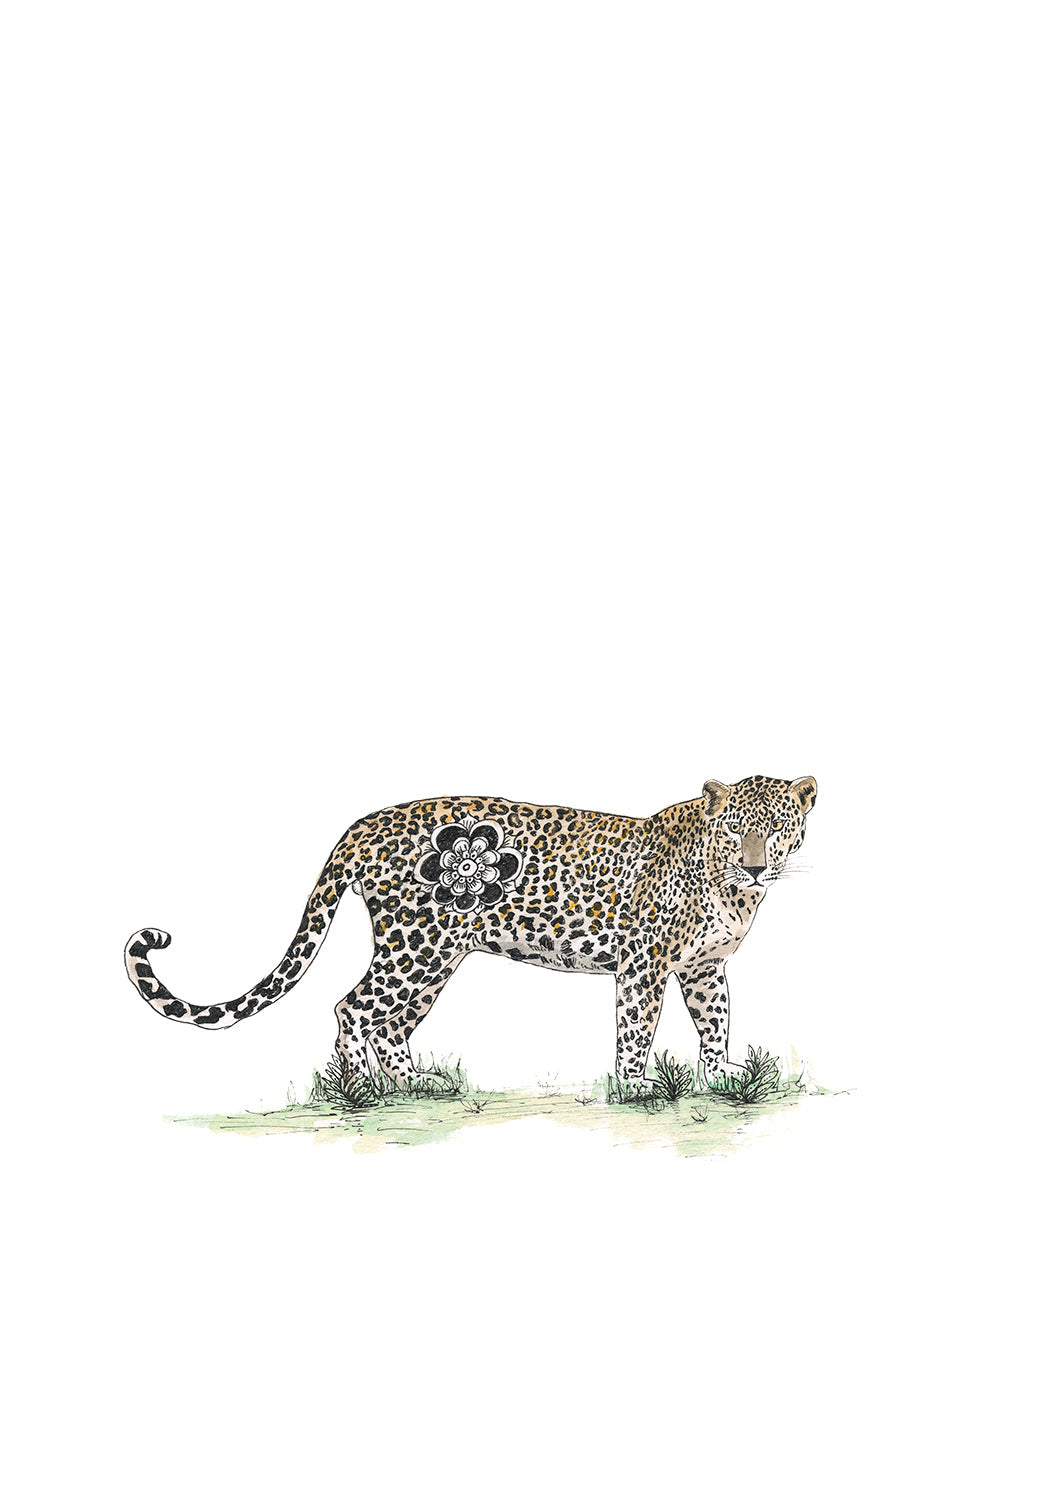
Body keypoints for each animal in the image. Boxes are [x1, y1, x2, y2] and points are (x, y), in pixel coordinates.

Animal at [124, 774, 816, 1097]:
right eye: (737, 829)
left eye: (779, 829)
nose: (756, 866)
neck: (733, 892)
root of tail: (362, 826)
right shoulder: (644, 965)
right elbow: (636, 1028)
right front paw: (635, 1085)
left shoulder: (704, 968)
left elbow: (716, 1021)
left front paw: (722, 1075)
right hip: (417, 945)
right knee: (354, 1007)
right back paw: (364, 1089)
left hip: (433, 959)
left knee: (388, 1022)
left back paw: (415, 1083)